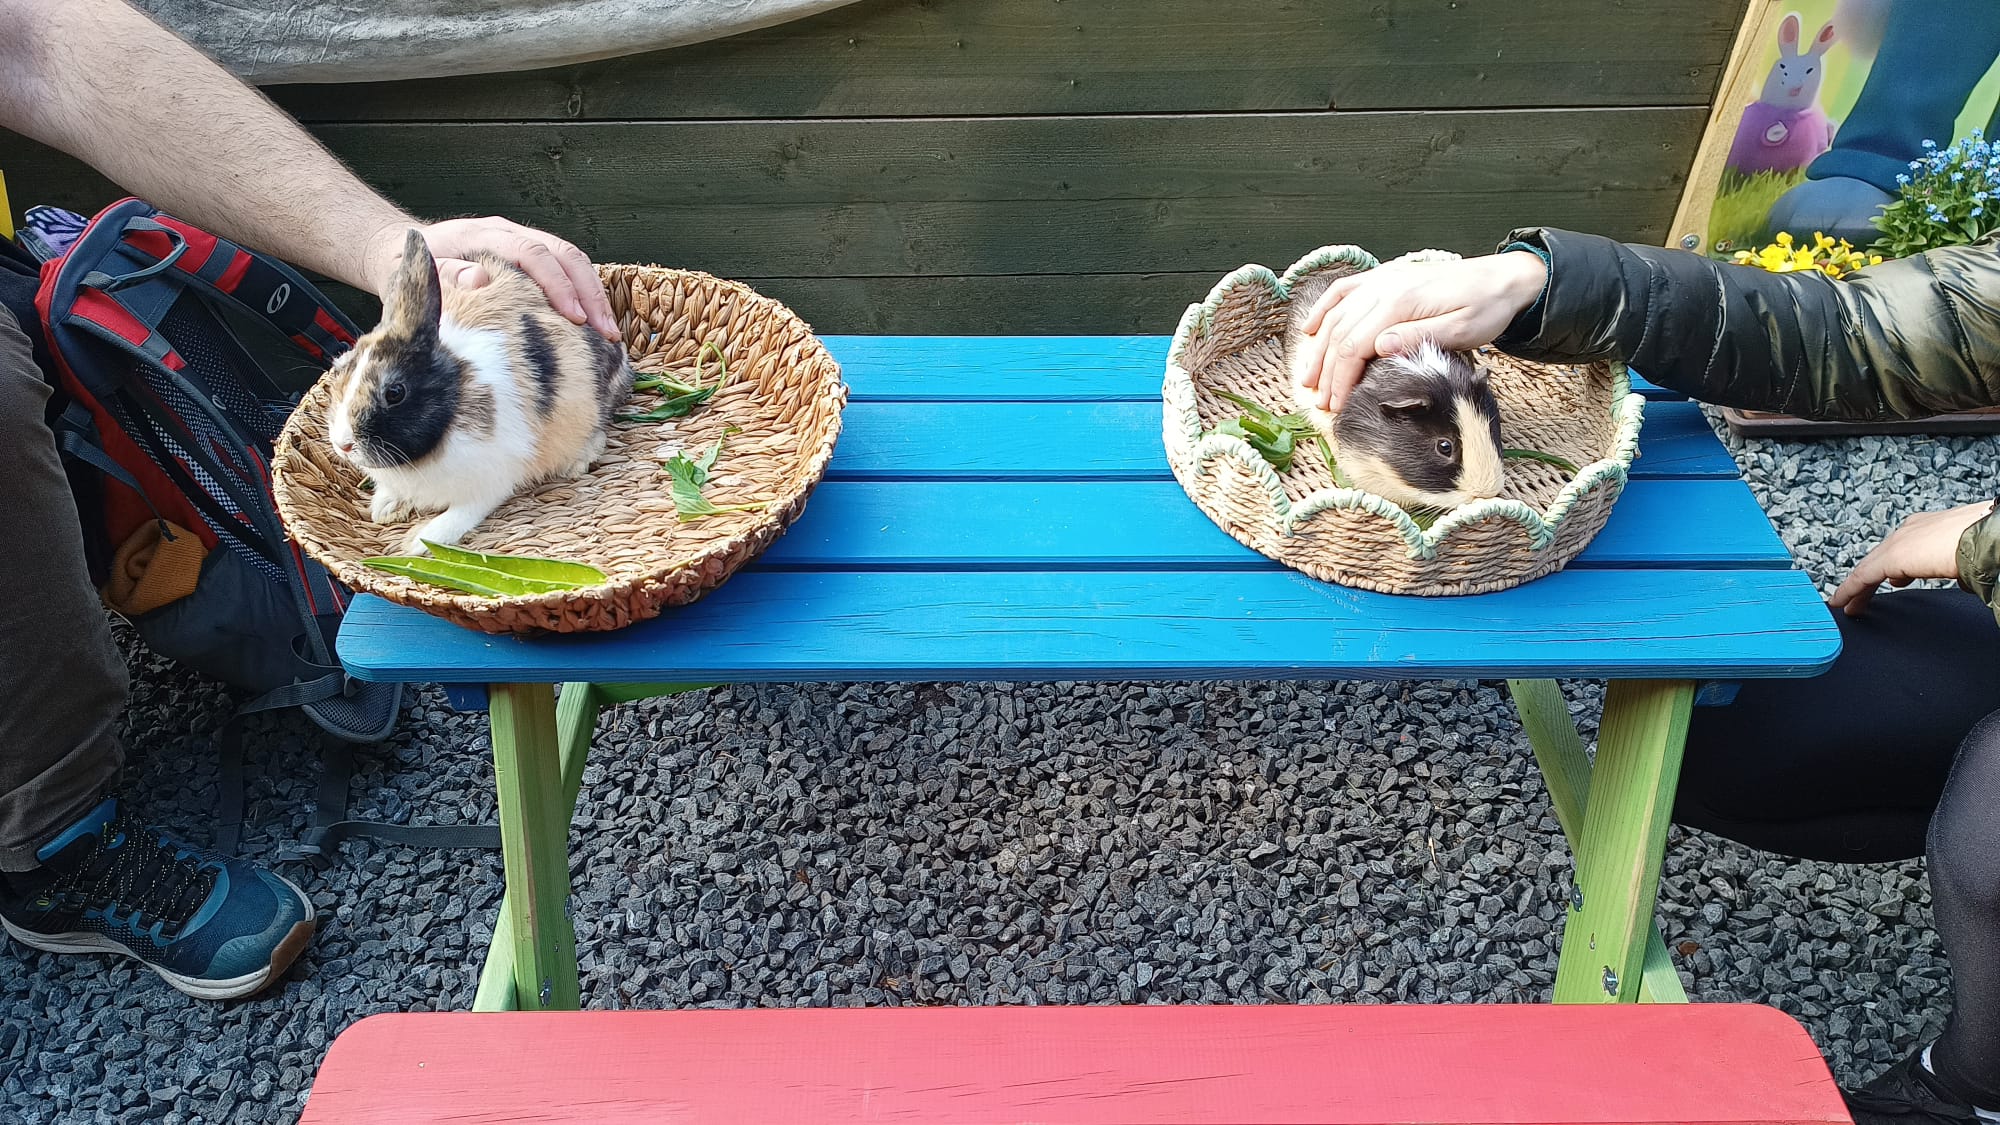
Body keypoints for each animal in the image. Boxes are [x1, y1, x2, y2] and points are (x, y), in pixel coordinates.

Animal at [325, 229, 633, 554]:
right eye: (340, 370)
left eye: (395, 393)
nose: (343, 445)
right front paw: (385, 508)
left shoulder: (492, 479)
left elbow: (463, 513)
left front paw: (418, 543)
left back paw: (576, 462)